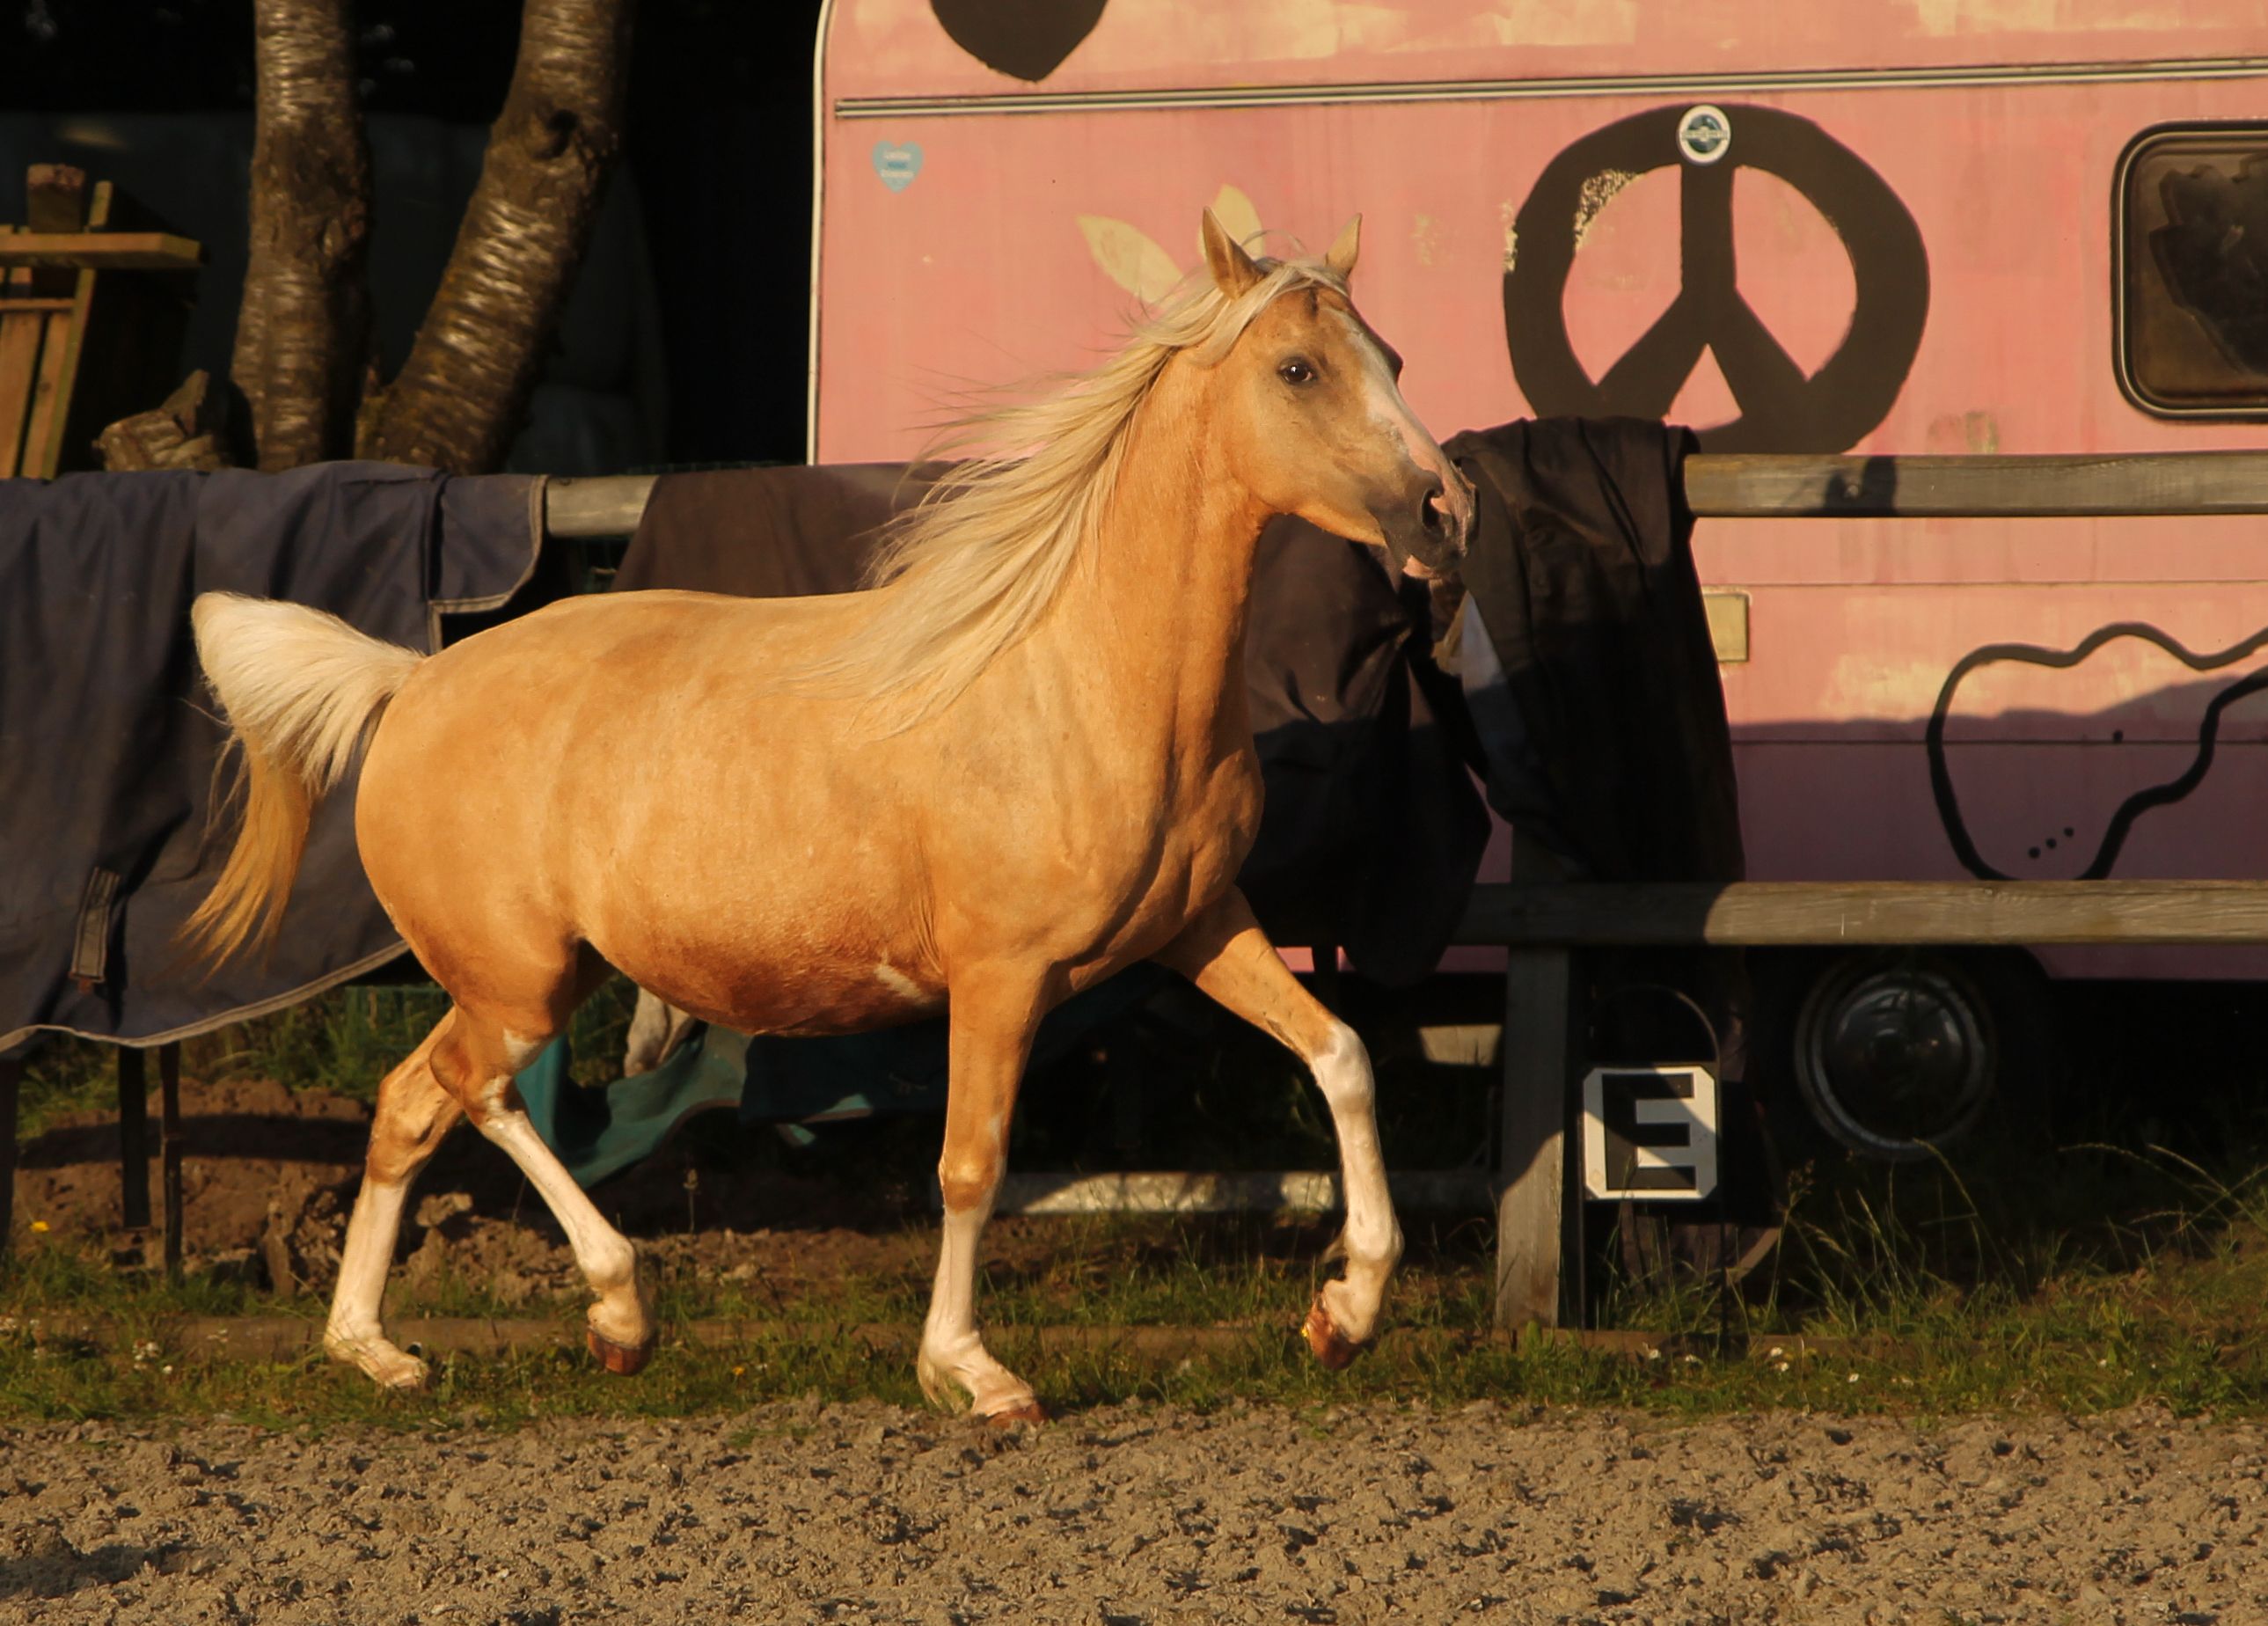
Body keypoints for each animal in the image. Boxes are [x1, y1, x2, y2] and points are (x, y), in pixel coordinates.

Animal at [182, 208, 1474, 1421]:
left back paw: (384, 1351)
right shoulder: (1001, 979)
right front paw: (970, 1374)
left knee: (411, 1104)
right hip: (517, 984)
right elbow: (971, 1164)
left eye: (1396, 355)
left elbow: (1342, 1056)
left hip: (541, 978)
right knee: (470, 1091)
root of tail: (411, 683)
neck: (1083, 678)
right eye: (1297, 369)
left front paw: (1346, 1312)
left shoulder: (1201, 928)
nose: (1442, 514)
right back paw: (611, 1310)